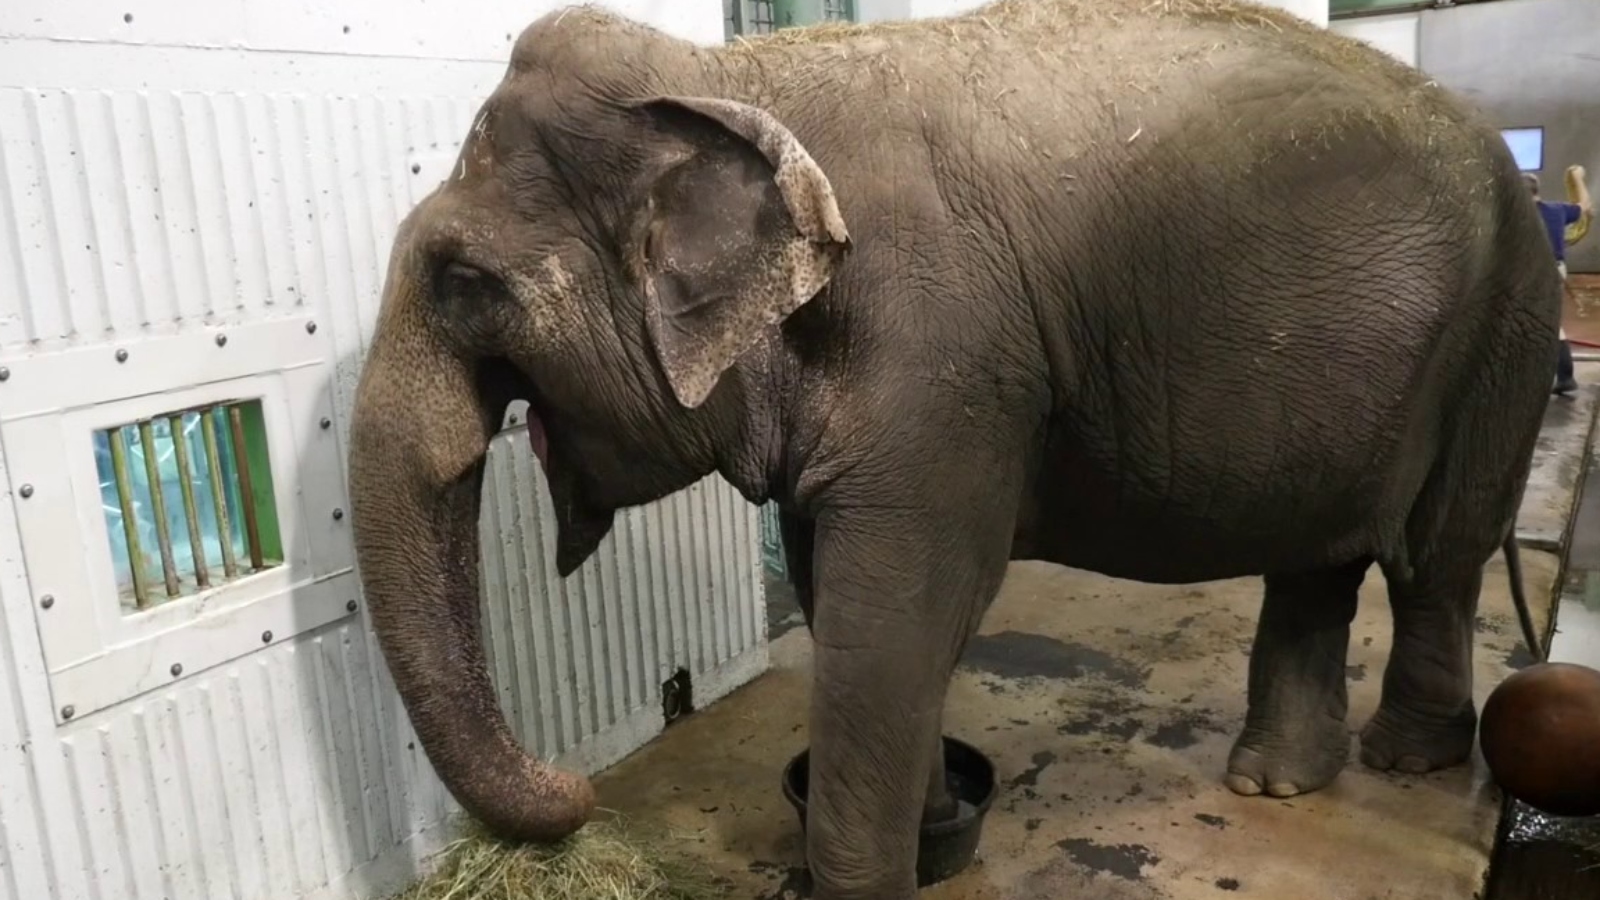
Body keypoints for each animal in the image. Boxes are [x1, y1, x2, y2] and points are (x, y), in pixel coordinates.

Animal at [350, 1, 1561, 890]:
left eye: (463, 282)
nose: (577, 793)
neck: (729, 76)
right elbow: (846, 603)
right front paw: (933, 830)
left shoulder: (944, 362)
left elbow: (898, 615)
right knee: (1320, 559)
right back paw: (1273, 785)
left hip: (1507, 321)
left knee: (1439, 558)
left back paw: (1405, 758)